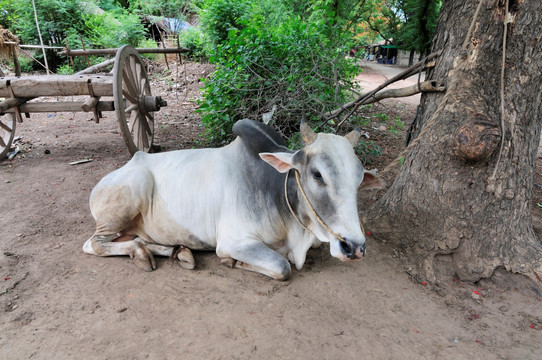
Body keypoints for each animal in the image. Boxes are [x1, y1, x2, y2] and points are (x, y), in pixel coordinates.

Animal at [85, 119, 382, 280]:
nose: (354, 247)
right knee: (95, 244)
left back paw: (178, 251)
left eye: (359, 180)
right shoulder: (235, 241)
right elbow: (282, 266)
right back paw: (141, 254)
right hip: (128, 197)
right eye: (317, 174)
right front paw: (231, 262)